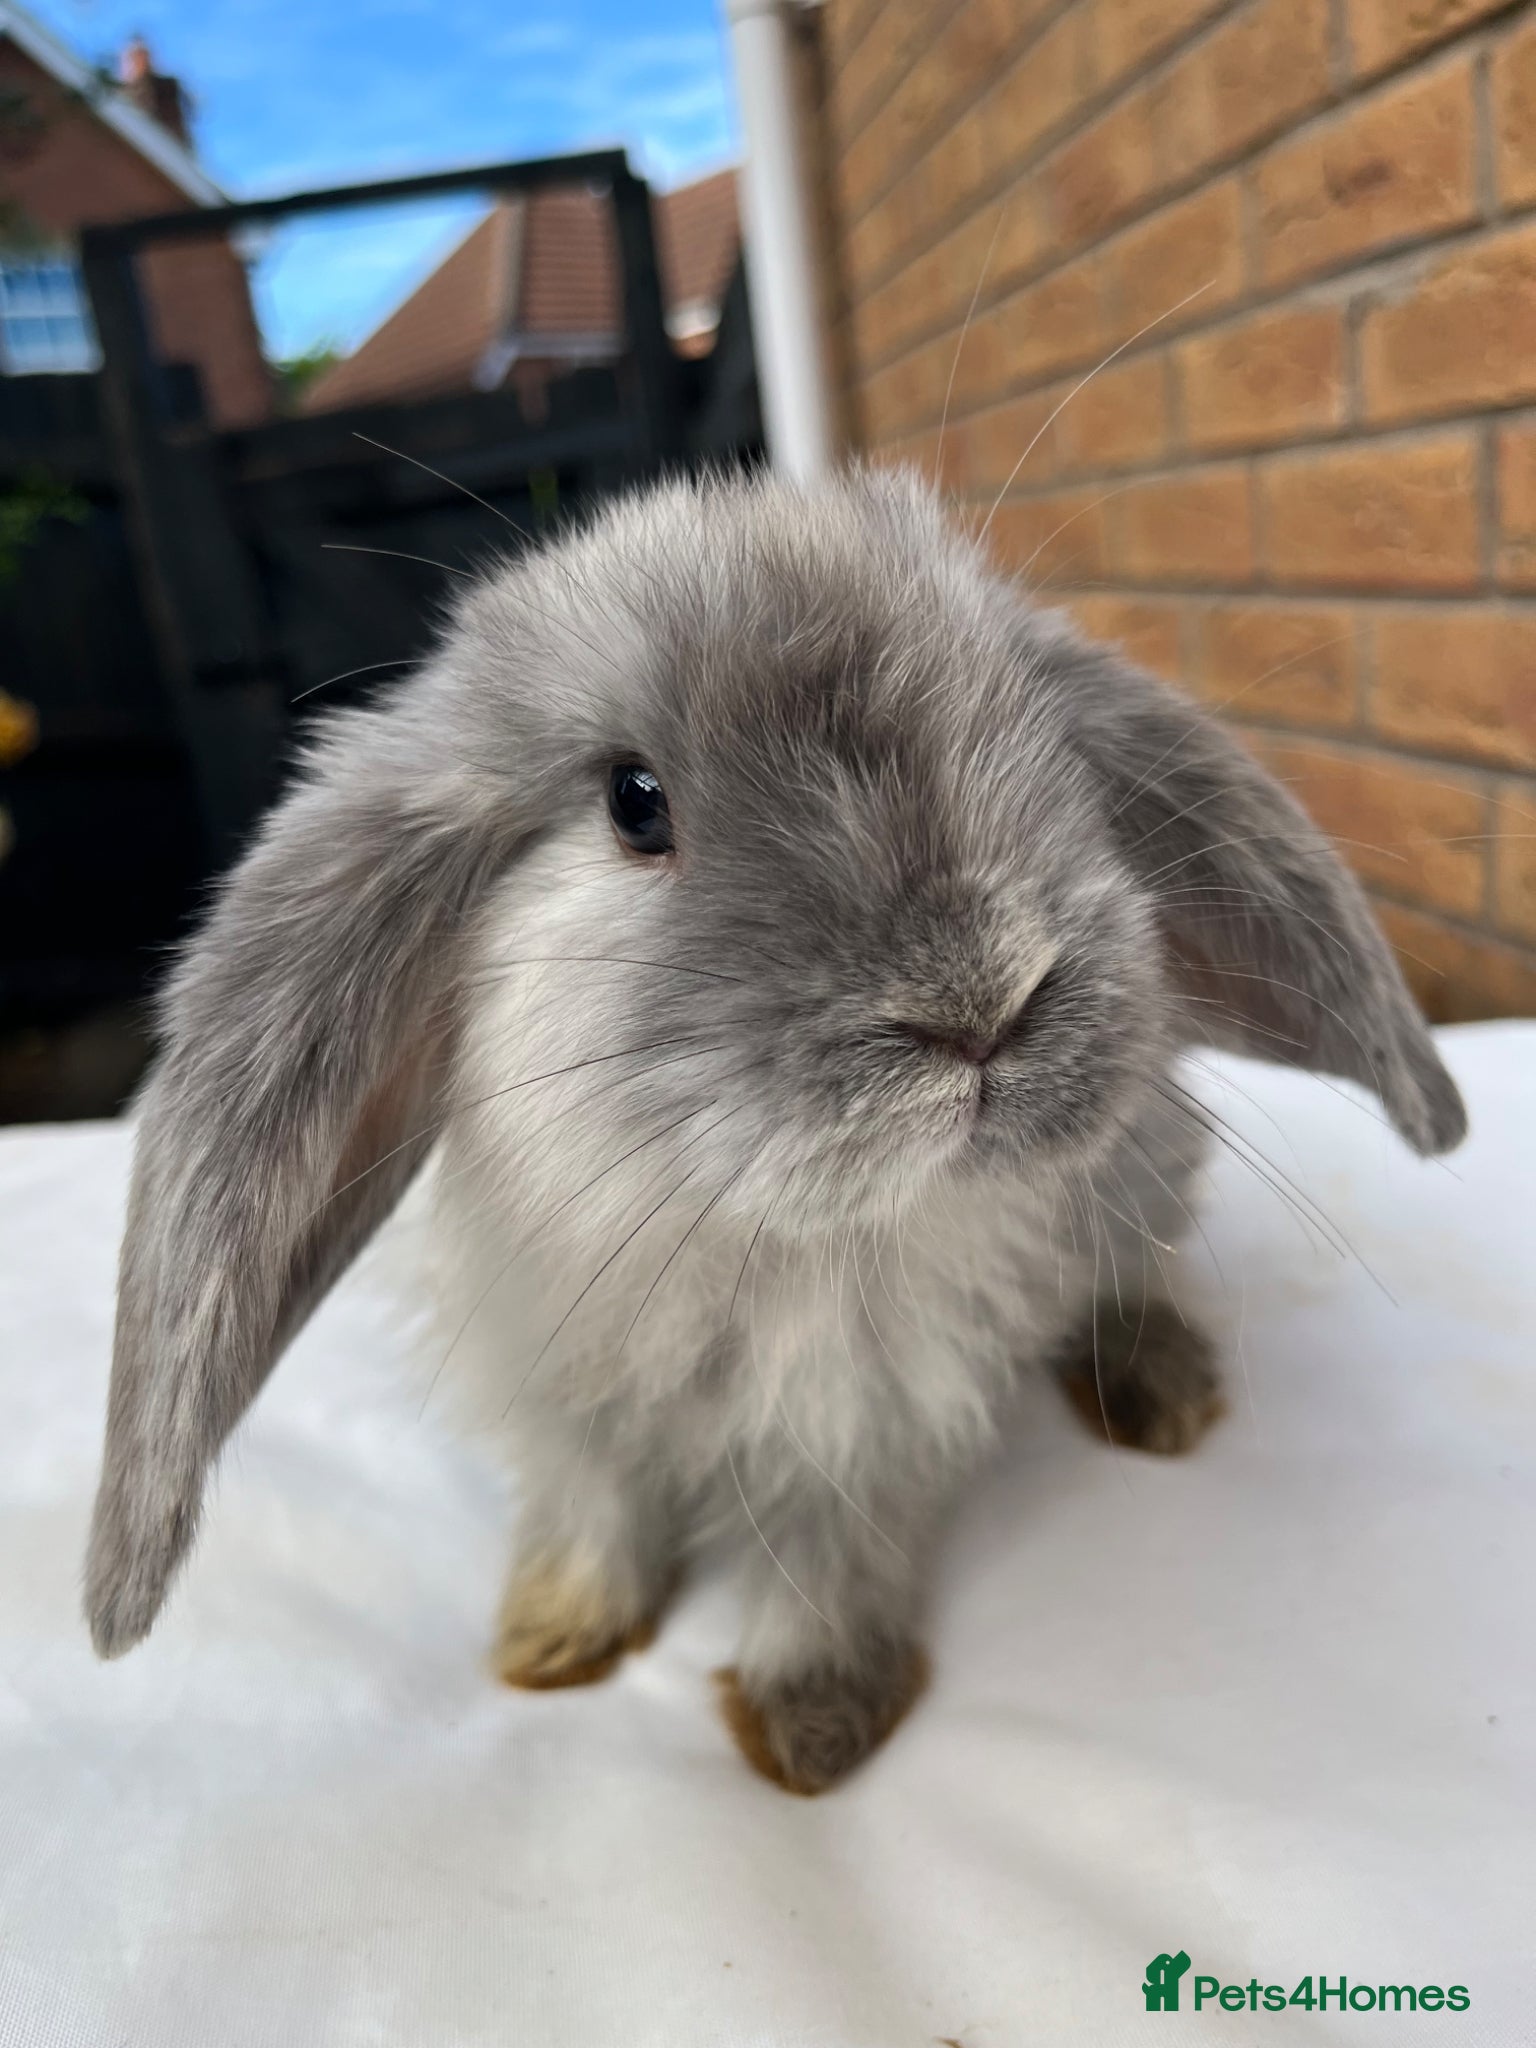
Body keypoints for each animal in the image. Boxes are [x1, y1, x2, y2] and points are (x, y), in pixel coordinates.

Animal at [83, 466, 1466, 1794]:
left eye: (1036, 741)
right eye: (634, 801)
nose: (982, 998)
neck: (740, 1239)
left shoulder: (867, 1430)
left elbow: (827, 1566)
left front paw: (811, 1725)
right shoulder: (563, 1400)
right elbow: (593, 1513)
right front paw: (552, 1636)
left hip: (1141, 1178)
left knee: (1134, 1278)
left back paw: (1162, 1393)